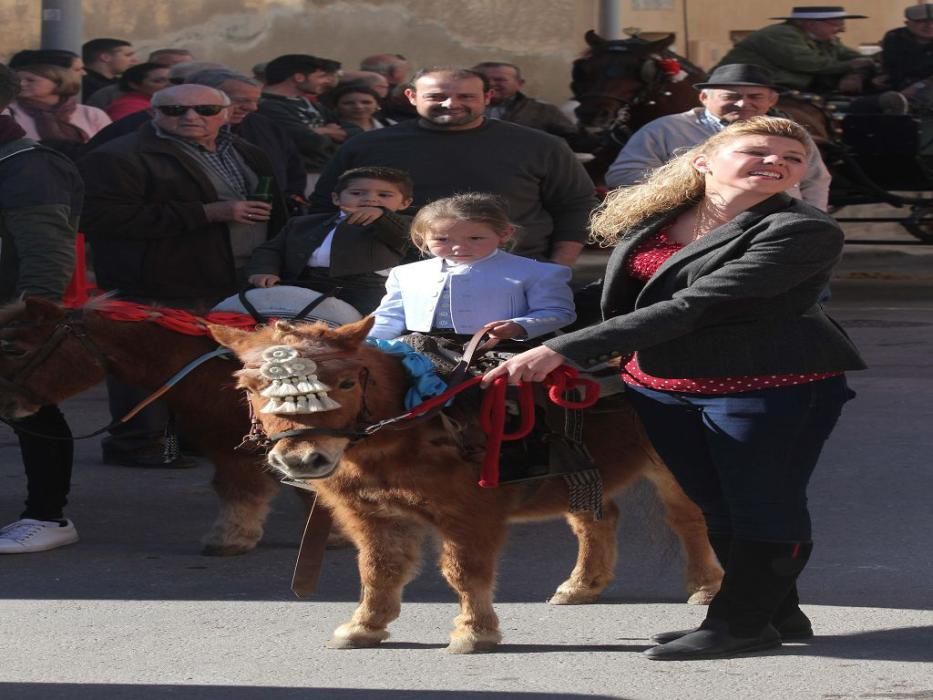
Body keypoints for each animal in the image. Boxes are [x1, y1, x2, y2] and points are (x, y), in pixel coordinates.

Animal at [0, 298, 290, 556]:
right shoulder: (231, 444)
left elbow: (241, 489)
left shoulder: (233, 443)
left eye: (15, 350)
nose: (4, 404)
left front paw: (229, 538)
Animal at [211, 320, 720, 652]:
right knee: (596, 520)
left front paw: (474, 633)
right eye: (248, 387)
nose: (301, 459)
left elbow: (464, 572)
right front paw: (364, 627)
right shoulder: (371, 515)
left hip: (672, 465)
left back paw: (705, 587)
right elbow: (378, 569)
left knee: (689, 517)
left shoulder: (468, 515)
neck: (420, 418)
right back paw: (581, 585)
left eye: (346, 381)